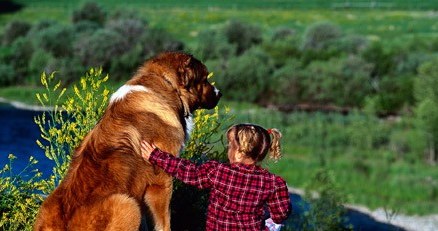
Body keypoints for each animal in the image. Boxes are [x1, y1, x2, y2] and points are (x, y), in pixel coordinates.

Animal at [33, 52, 222, 231]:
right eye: (205, 79)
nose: (220, 93)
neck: (167, 84)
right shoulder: (161, 182)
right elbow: (164, 222)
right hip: (127, 203)